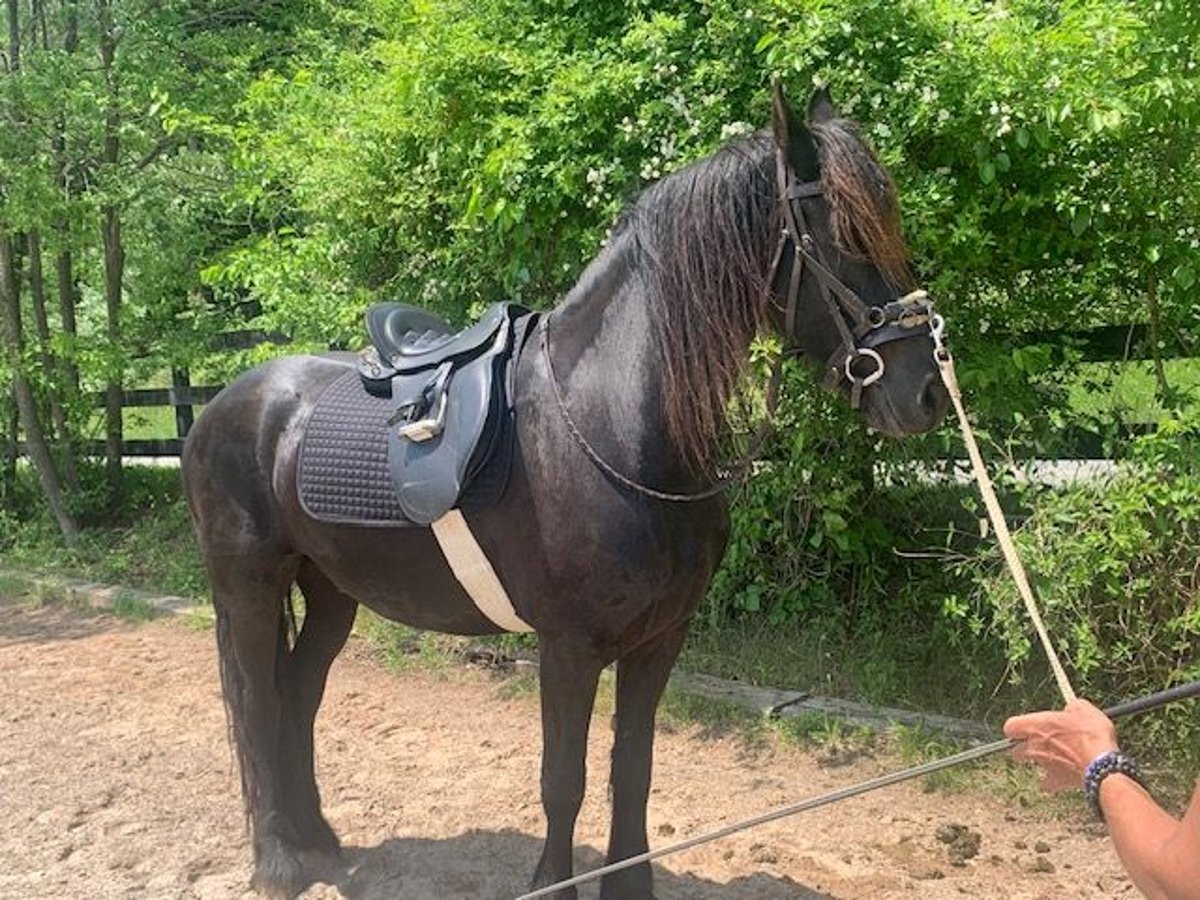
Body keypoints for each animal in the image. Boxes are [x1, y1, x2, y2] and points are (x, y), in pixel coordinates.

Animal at [180, 86, 945, 900]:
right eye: (842, 233)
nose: (925, 393)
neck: (613, 424)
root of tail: (223, 406)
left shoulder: (660, 640)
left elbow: (632, 768)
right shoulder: (569, 648)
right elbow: (564, 780)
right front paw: (554, 881)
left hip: (330, 592)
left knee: (296, 697)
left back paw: (320, 843)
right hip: (248, 586)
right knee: (254, 701)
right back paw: (279, 861)